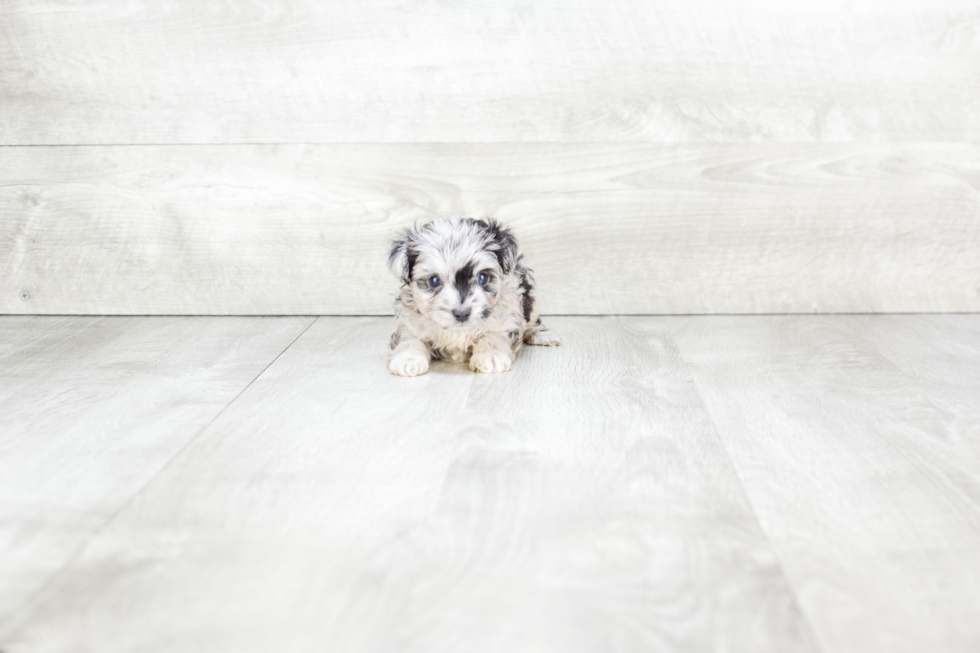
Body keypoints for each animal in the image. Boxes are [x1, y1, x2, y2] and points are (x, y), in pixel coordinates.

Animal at [386, 216, 564, 374]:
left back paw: (541, 334)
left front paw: (491, 355)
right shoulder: (409, 321)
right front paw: (408, 359)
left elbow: (495, 335)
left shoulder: (507, 316)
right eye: (434, 280)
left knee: (533, 321)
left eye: (482, 277)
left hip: (531, 295)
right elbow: (409, 338)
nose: (462, 313)